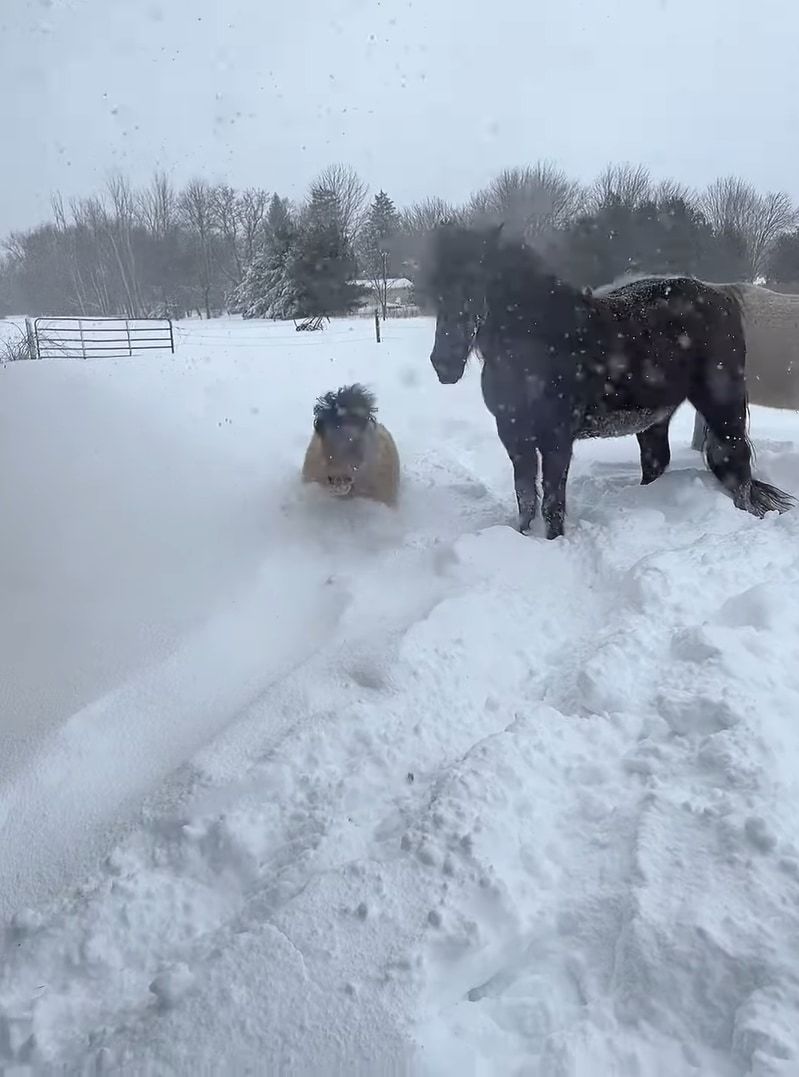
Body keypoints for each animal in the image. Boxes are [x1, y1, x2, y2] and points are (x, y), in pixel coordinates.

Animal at [426, 221, 796, 538]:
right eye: (437, 287)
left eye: (478, 280)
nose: (443, 363)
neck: (543, 342)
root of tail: (722, 298)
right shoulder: (514, 435)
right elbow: (525, 498)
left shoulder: (557, 438)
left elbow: (552, 503)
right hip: (656, 417)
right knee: (658, 462)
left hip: (721, 406)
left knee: (737, 463)